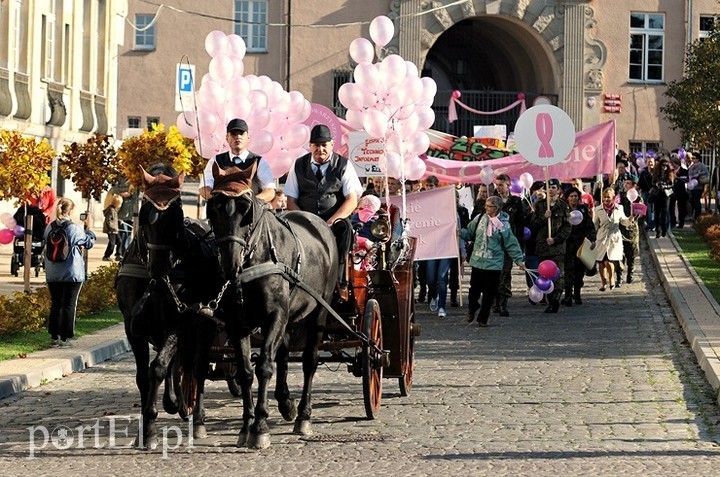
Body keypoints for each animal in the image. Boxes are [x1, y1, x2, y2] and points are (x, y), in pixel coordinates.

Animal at [116, 163, 219, 446]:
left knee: (198, 365)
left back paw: (197, 417)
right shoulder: (134, 327)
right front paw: (144, 427)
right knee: (181, 363)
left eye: (176, 213)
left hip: (205, 325)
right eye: (145, 212)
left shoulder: (179, 321)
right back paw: (175, 402)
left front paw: (151, 425)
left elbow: (159, 367)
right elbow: (144, 375)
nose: (159, 267)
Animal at [205, 165, 340, 450]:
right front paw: (246, 425)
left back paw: (303, 415)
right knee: (285, 353)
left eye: (246, 210)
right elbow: (246, 371)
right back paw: (286, 402)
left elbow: (264, 366)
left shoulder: (275, 316)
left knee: (309, 361)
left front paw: (260, 426)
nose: (230, 265)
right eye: (214, 208)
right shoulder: (237, 323)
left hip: (319, 312)